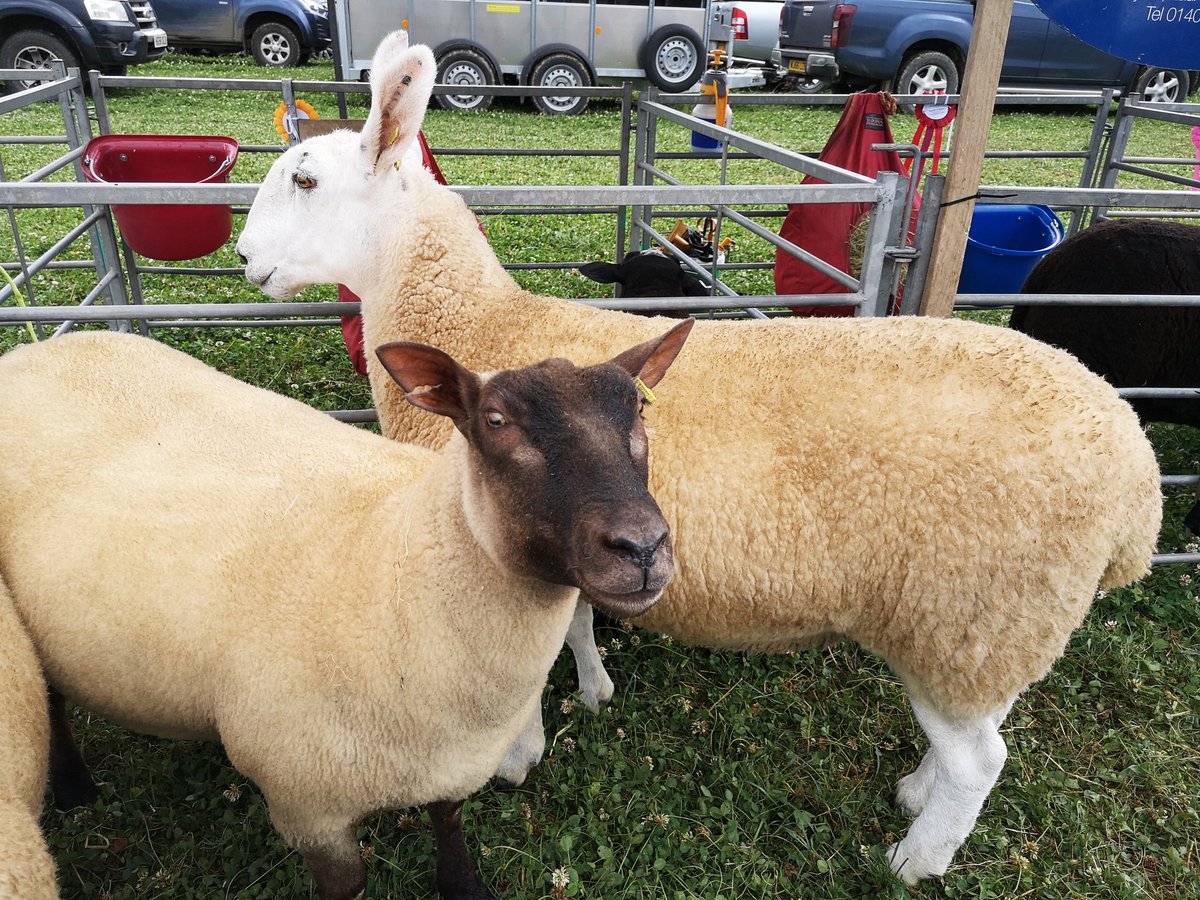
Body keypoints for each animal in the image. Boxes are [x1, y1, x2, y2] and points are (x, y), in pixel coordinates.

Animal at [0, 322, 691, 900]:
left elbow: (449, 825)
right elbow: (349, 885)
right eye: (495, 421)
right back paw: (72, 790)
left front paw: (464, 889)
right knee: (47, 697)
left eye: (639, 412)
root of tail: (37, 350)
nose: (642, 547)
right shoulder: (309, 808)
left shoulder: (449, 760)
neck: (398, 567)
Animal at [235, 31, 1163, 884]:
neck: (474, 319)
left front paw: (518, 756)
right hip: (990, 629)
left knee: (982, 761)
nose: (244, 260)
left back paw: (915, 856)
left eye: (306, 180)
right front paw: (596, 687)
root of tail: (1137, 477)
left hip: (970, 610)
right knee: (982, 734)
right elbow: (580, 621)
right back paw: (915, 792)